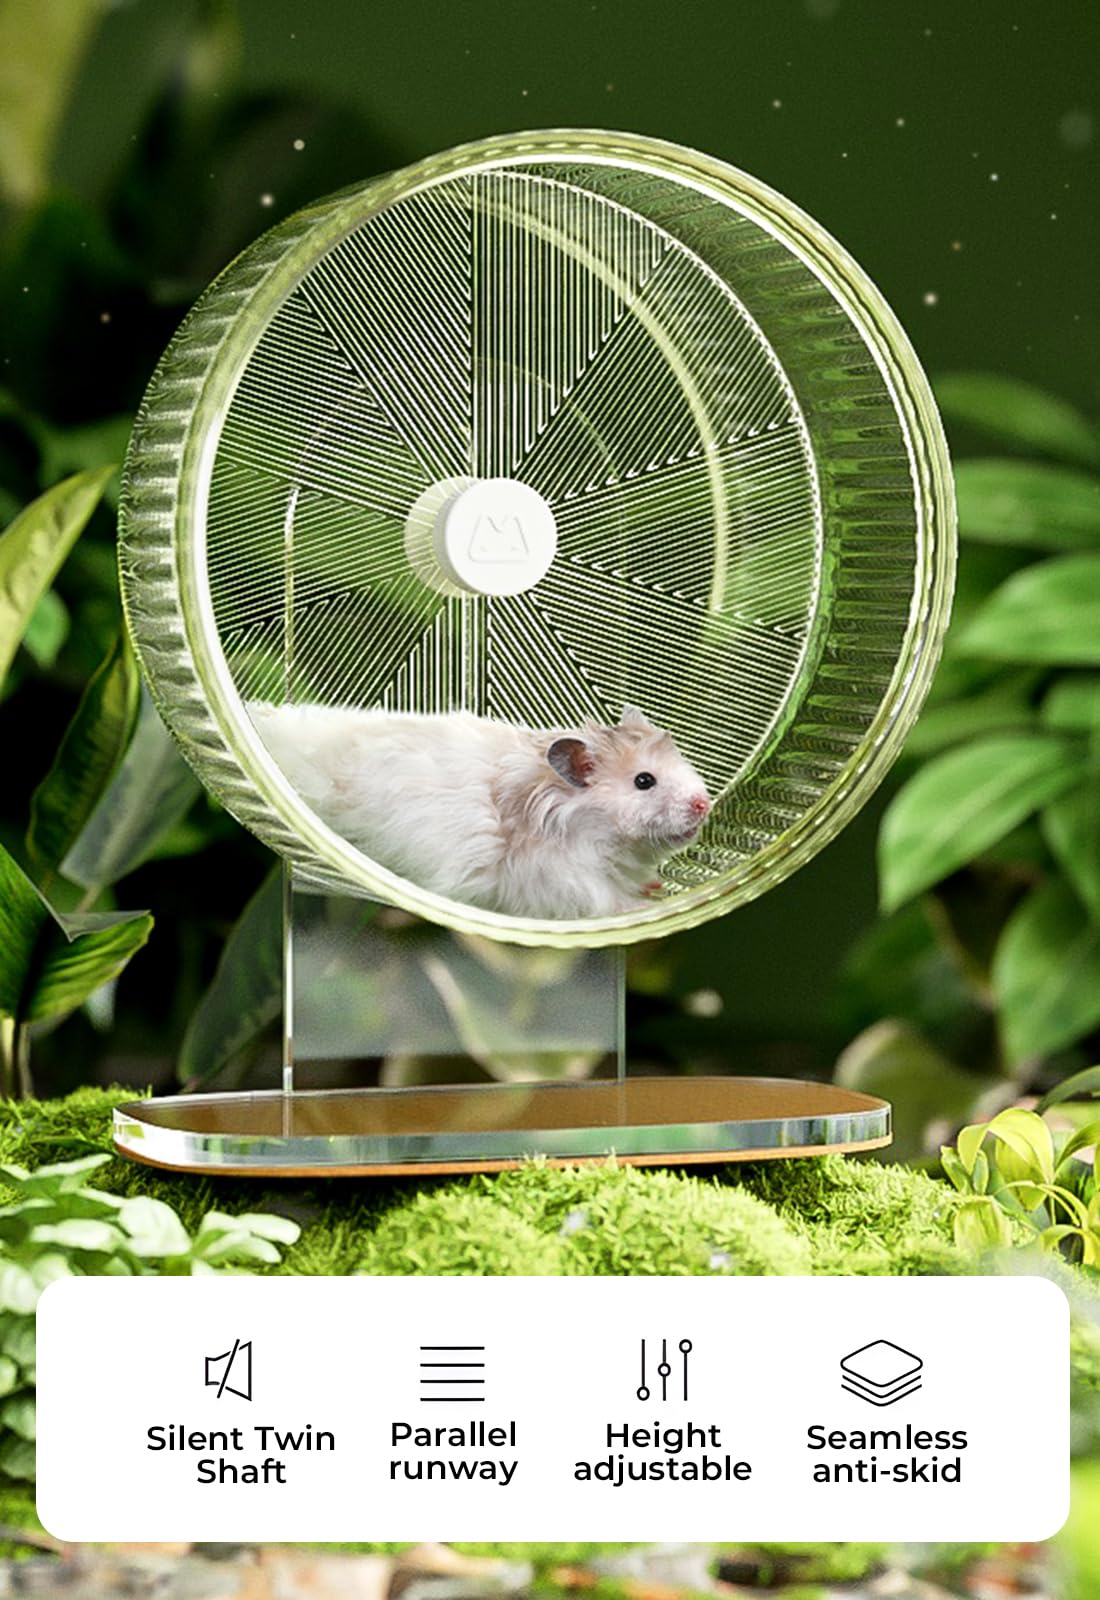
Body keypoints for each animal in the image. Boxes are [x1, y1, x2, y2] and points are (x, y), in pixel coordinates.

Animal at [246, 701, 710, 919]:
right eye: (644, 781)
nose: (704, 804)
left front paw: (654, 887)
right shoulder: (563, 882)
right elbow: (606, 900)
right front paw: (642, 908)